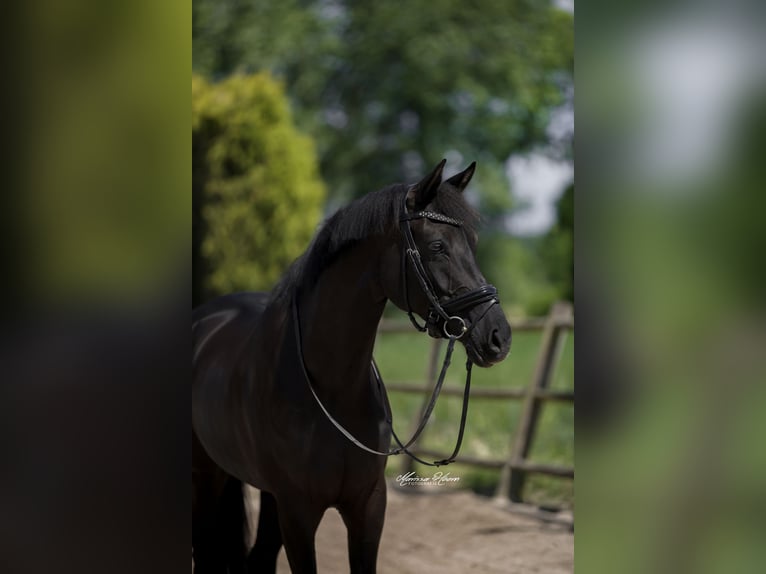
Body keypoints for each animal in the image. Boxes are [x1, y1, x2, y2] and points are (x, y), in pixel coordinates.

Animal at [192, 159, 512, 573]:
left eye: (471, 244)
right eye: (437, 247)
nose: (498, 336)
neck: (334, 389)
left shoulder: (368, 507)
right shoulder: (298, 513)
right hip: (206, 476)